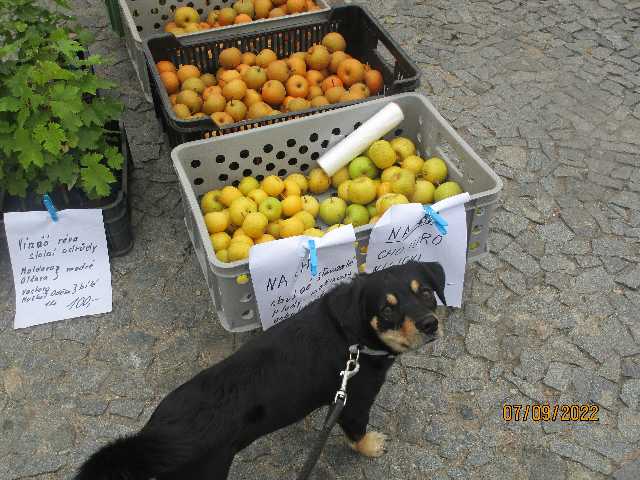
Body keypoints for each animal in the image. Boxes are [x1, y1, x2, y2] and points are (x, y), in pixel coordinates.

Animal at [75, 262, 444, 480]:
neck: (349, 334)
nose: (430, 324)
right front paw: (371, 447)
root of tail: (154, 437)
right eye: (386, 309)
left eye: (426, 291)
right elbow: (357, 435)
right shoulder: (353, 404)